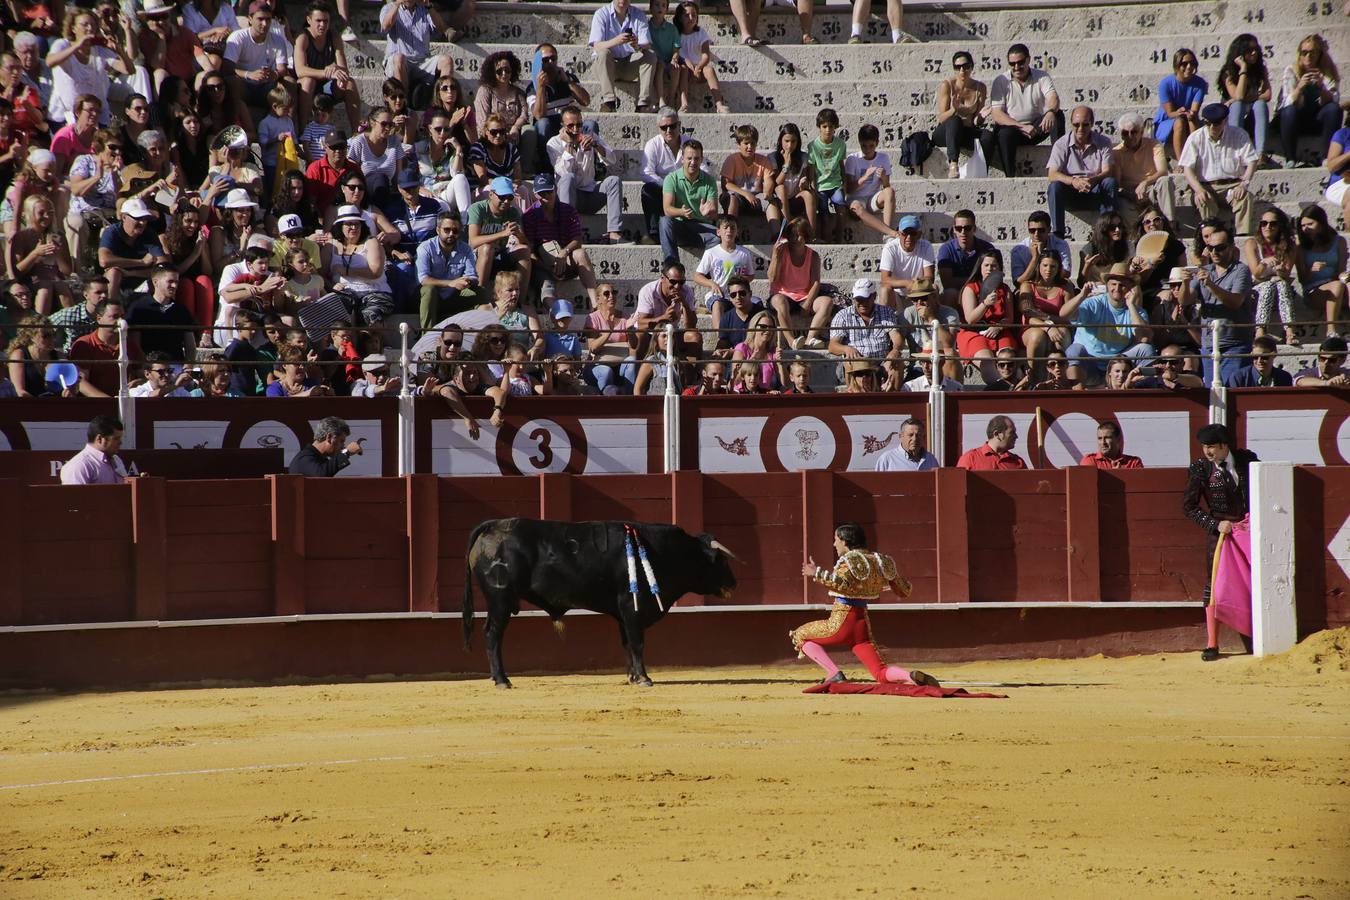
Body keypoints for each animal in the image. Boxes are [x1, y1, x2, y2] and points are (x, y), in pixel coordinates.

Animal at [464, 518, 739, 685]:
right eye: (721, 561)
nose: (734, 582)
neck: (665, 551)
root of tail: (492, 526)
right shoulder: (632, 607)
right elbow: (637, 643)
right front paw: (644, 678)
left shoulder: (623, 613)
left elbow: (627, 643)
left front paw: (633, 677)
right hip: (500, 599)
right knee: (492, 634)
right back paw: (502, 680)